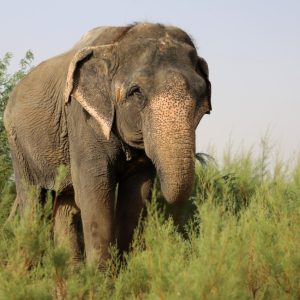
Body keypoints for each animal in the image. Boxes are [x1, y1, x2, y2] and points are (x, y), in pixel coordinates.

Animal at [4, 22, 211, 268]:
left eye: (201, 95)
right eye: (136, 92)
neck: (117, 41)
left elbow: (136, 194)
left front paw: (121, 272)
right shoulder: (82, 117)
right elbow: (95, 190)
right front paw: (100, 276)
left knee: (64, 203)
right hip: (17, 142)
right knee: (33, 200)